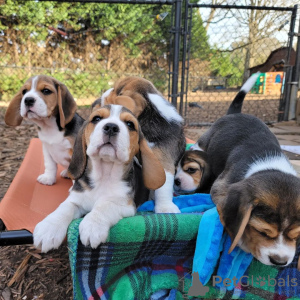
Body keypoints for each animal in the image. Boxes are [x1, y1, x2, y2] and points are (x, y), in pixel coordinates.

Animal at [33, 104, 165, 252]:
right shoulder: (76, 199)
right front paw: (48, 228)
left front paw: (92, 226)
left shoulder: (125, 205)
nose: (111, 127)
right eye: (96, 118)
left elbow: (104, 206)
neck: (104, 175)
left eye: (130, 124)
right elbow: (64, 208)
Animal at [193, 74, 300, 268]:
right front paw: (242, 239)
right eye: (262, 232)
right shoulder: (221, 187)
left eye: (296, 236)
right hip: (204, 141)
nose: (280, 262)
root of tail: (235, 113)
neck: (269, 165)